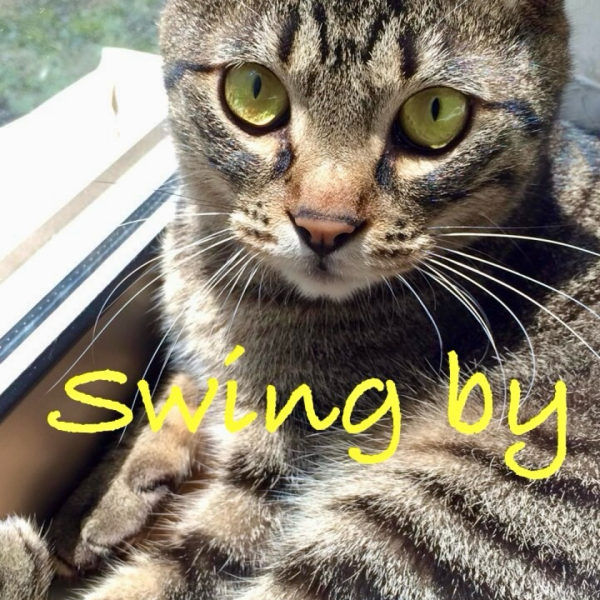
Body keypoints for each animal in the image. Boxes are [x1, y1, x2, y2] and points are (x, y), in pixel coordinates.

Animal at [2, 0, 600, 598]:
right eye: (254, 89)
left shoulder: (273, 480)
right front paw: (104, 496)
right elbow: (176, 388)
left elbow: (162, 575)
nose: (324, 225)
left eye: (437, 113)